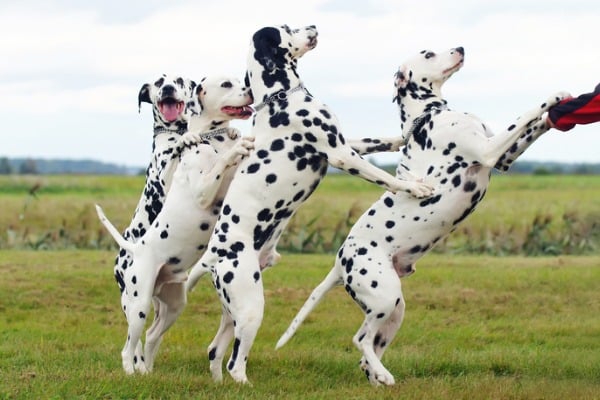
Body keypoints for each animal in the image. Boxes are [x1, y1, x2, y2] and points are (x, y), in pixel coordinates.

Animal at [95, 75, 253, 376]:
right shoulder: (200, 188)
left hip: (174, 305)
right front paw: (234, 148)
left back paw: (148, 371)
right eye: (227, 84)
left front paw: (237, 138)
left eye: (240, 80)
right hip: (138, 306)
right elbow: (218, 163)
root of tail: (133, 249)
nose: (250, 89)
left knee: (151, 337)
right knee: (128, 349)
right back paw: (131, 374)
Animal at [185, 24, 434, 384]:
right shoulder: (340, 155)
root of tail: (213, 255)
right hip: (251, 309)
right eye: (288, 28)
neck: (282, 99)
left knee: (215, 351)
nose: (315, 27)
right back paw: (245, 383)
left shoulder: (342, 143)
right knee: (235, 362)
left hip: (232, 312)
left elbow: (372, 140)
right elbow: (383, 176)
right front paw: (414, 186)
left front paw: (399, 137)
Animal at [278, 46, 572, 384]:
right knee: (360, 339)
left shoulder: (504, 158)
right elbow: (525, 114)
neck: (430, 115)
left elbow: (534, 125)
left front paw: (556, 112)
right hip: (384, 298)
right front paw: (555, 96)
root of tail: (340, 262)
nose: (460, 47)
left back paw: (378, 377)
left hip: (395, 310)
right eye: (429, 54)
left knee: (367, 353)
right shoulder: (489, 150)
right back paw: (384, 375)